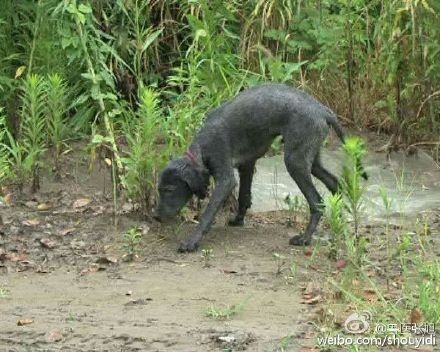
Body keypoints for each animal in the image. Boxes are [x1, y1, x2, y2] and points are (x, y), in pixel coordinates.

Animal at [155, 84, 364, 252]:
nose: (156, 216)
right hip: (311, 161)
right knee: (334, 182)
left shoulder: (225, 178)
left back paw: (305, 238)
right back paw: (338, 219)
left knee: (317, 201)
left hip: (295, 161)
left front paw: (192, 241)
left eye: (169, 189)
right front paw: (238, 220)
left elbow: (208, 214)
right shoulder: (247, 165)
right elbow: (244, 196)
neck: (202, 147)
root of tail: (323, 111)